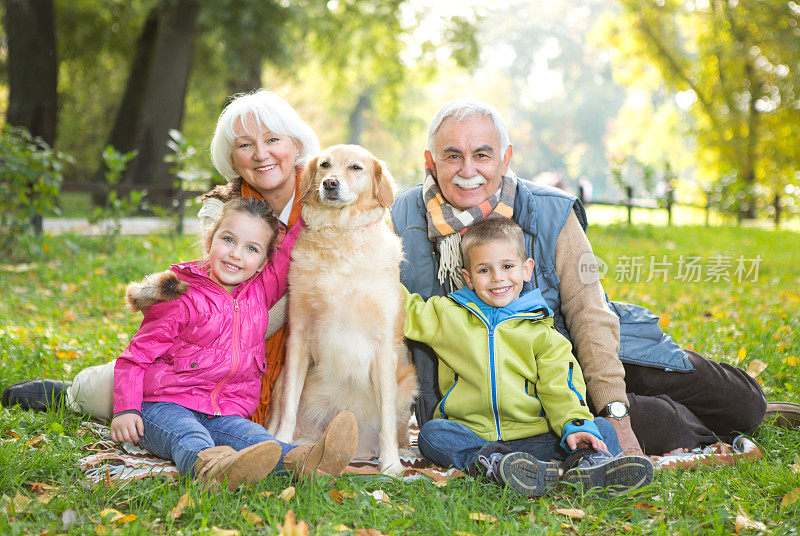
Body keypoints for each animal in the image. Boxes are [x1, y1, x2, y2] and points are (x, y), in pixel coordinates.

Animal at [276, 144, 418, 476]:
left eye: (356, 167)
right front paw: (279, 441)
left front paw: (391, 464)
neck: (339, 235)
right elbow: (289, 404)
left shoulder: (383, 346)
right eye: (324, 165)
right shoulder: (298, 334)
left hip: (407, 381)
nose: (330, 184)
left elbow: (386, 418)